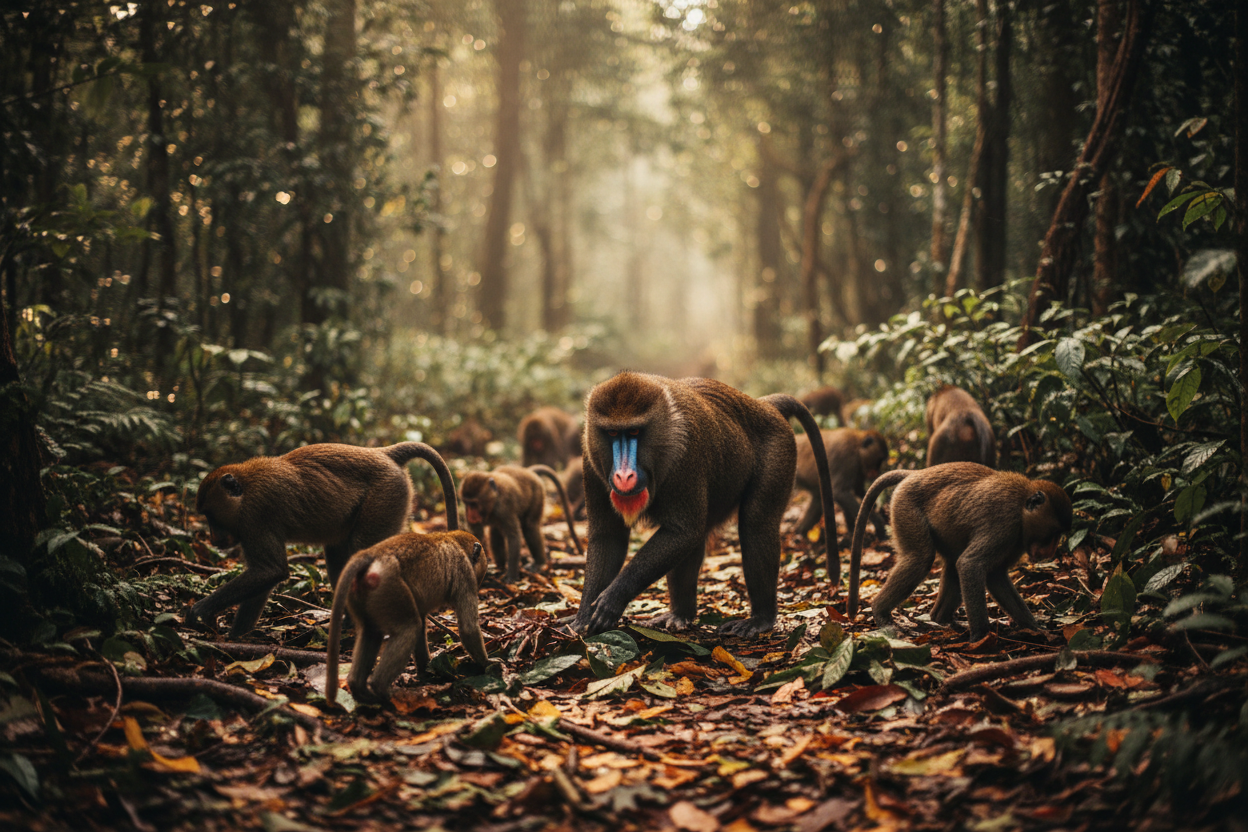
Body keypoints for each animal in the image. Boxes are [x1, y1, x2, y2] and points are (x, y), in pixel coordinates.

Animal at [190, 442, 459, 637]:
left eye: (212, 517)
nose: (213, 538)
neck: (246, 487)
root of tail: (383, 453)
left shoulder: (256, 515)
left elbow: (270, 570)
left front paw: (200, 611)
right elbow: (265, 575)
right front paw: (237, 636)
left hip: (387, 495)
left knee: (361, 550)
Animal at [325, 530, 489, 705]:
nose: (479, 584)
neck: (453, 539)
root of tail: (372, 553)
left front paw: (427, 672)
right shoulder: (465, 573)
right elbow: (468, 628)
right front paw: (489, 665)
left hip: (361, 591)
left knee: (372, 632)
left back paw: (360, 690)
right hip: (389, 585)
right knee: (409, 628)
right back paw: (380, 690)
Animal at [570, 372, 837, 638]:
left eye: (635, 431)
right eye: (613, 434)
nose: (623, 476)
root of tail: (763, 405)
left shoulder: (686, 453)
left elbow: (683, 533)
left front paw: (613, 598)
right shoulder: (591, 459)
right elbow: (609, 536)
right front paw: (583, 618)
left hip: (779, 450)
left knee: (756, 524)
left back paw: (761, 618)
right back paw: (681, 614)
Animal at [847, 463, 1072, 642]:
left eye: (1059, 534)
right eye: (1052, 533)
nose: (1052, 550)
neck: (1022, 505)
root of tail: (916, 473)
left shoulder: (1015, 540)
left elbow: (995, 576)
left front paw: (1035, 628)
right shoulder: (1005, 525)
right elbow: (970, 564)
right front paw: (981, 637)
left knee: (951, 564)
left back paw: (941, 619)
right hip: (905, 506)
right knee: (921, 558)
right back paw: (881, 613)